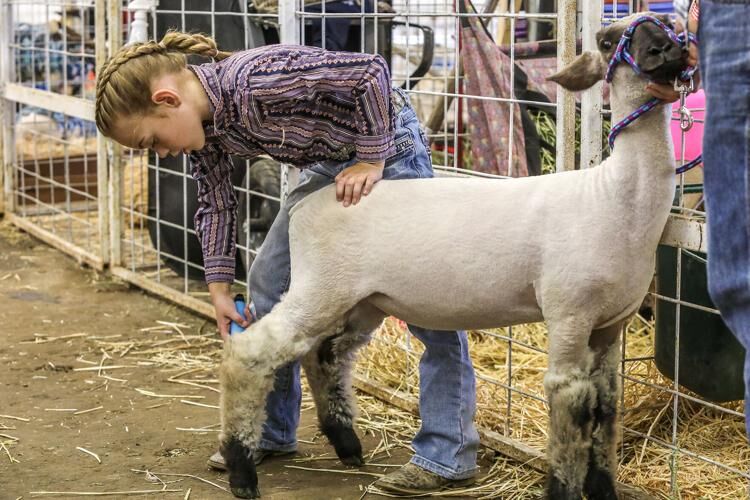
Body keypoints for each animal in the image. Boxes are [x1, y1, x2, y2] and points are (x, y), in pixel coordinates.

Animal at [220, 13, 692, 498]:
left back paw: (346, 443)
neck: (614, 196)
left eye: (670, 26)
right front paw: (563, 486)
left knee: (325, 354)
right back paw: (241, 469)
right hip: (319, 287)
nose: (663, 53)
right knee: (253, 349)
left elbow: (605, 409)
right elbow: (570, 408)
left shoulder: (611, 324)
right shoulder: (569, 313)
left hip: (363, 300)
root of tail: (308, 203)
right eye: (607, 39)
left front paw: (602, 487)